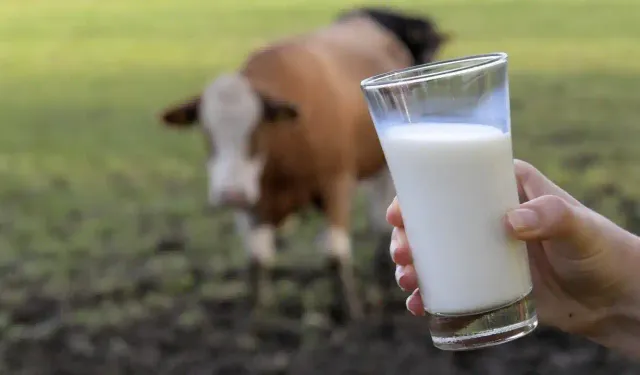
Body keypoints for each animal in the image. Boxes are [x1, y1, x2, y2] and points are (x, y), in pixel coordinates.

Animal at [159, 7, 448, 322]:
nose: (230, 194)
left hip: (379, 171)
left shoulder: (336, 183)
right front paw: (259, 314)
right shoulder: (255, 203)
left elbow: (335, 255)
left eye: (255, 130)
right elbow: (258, 260)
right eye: (207, 132)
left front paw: (350, 311)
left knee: (376, 227)